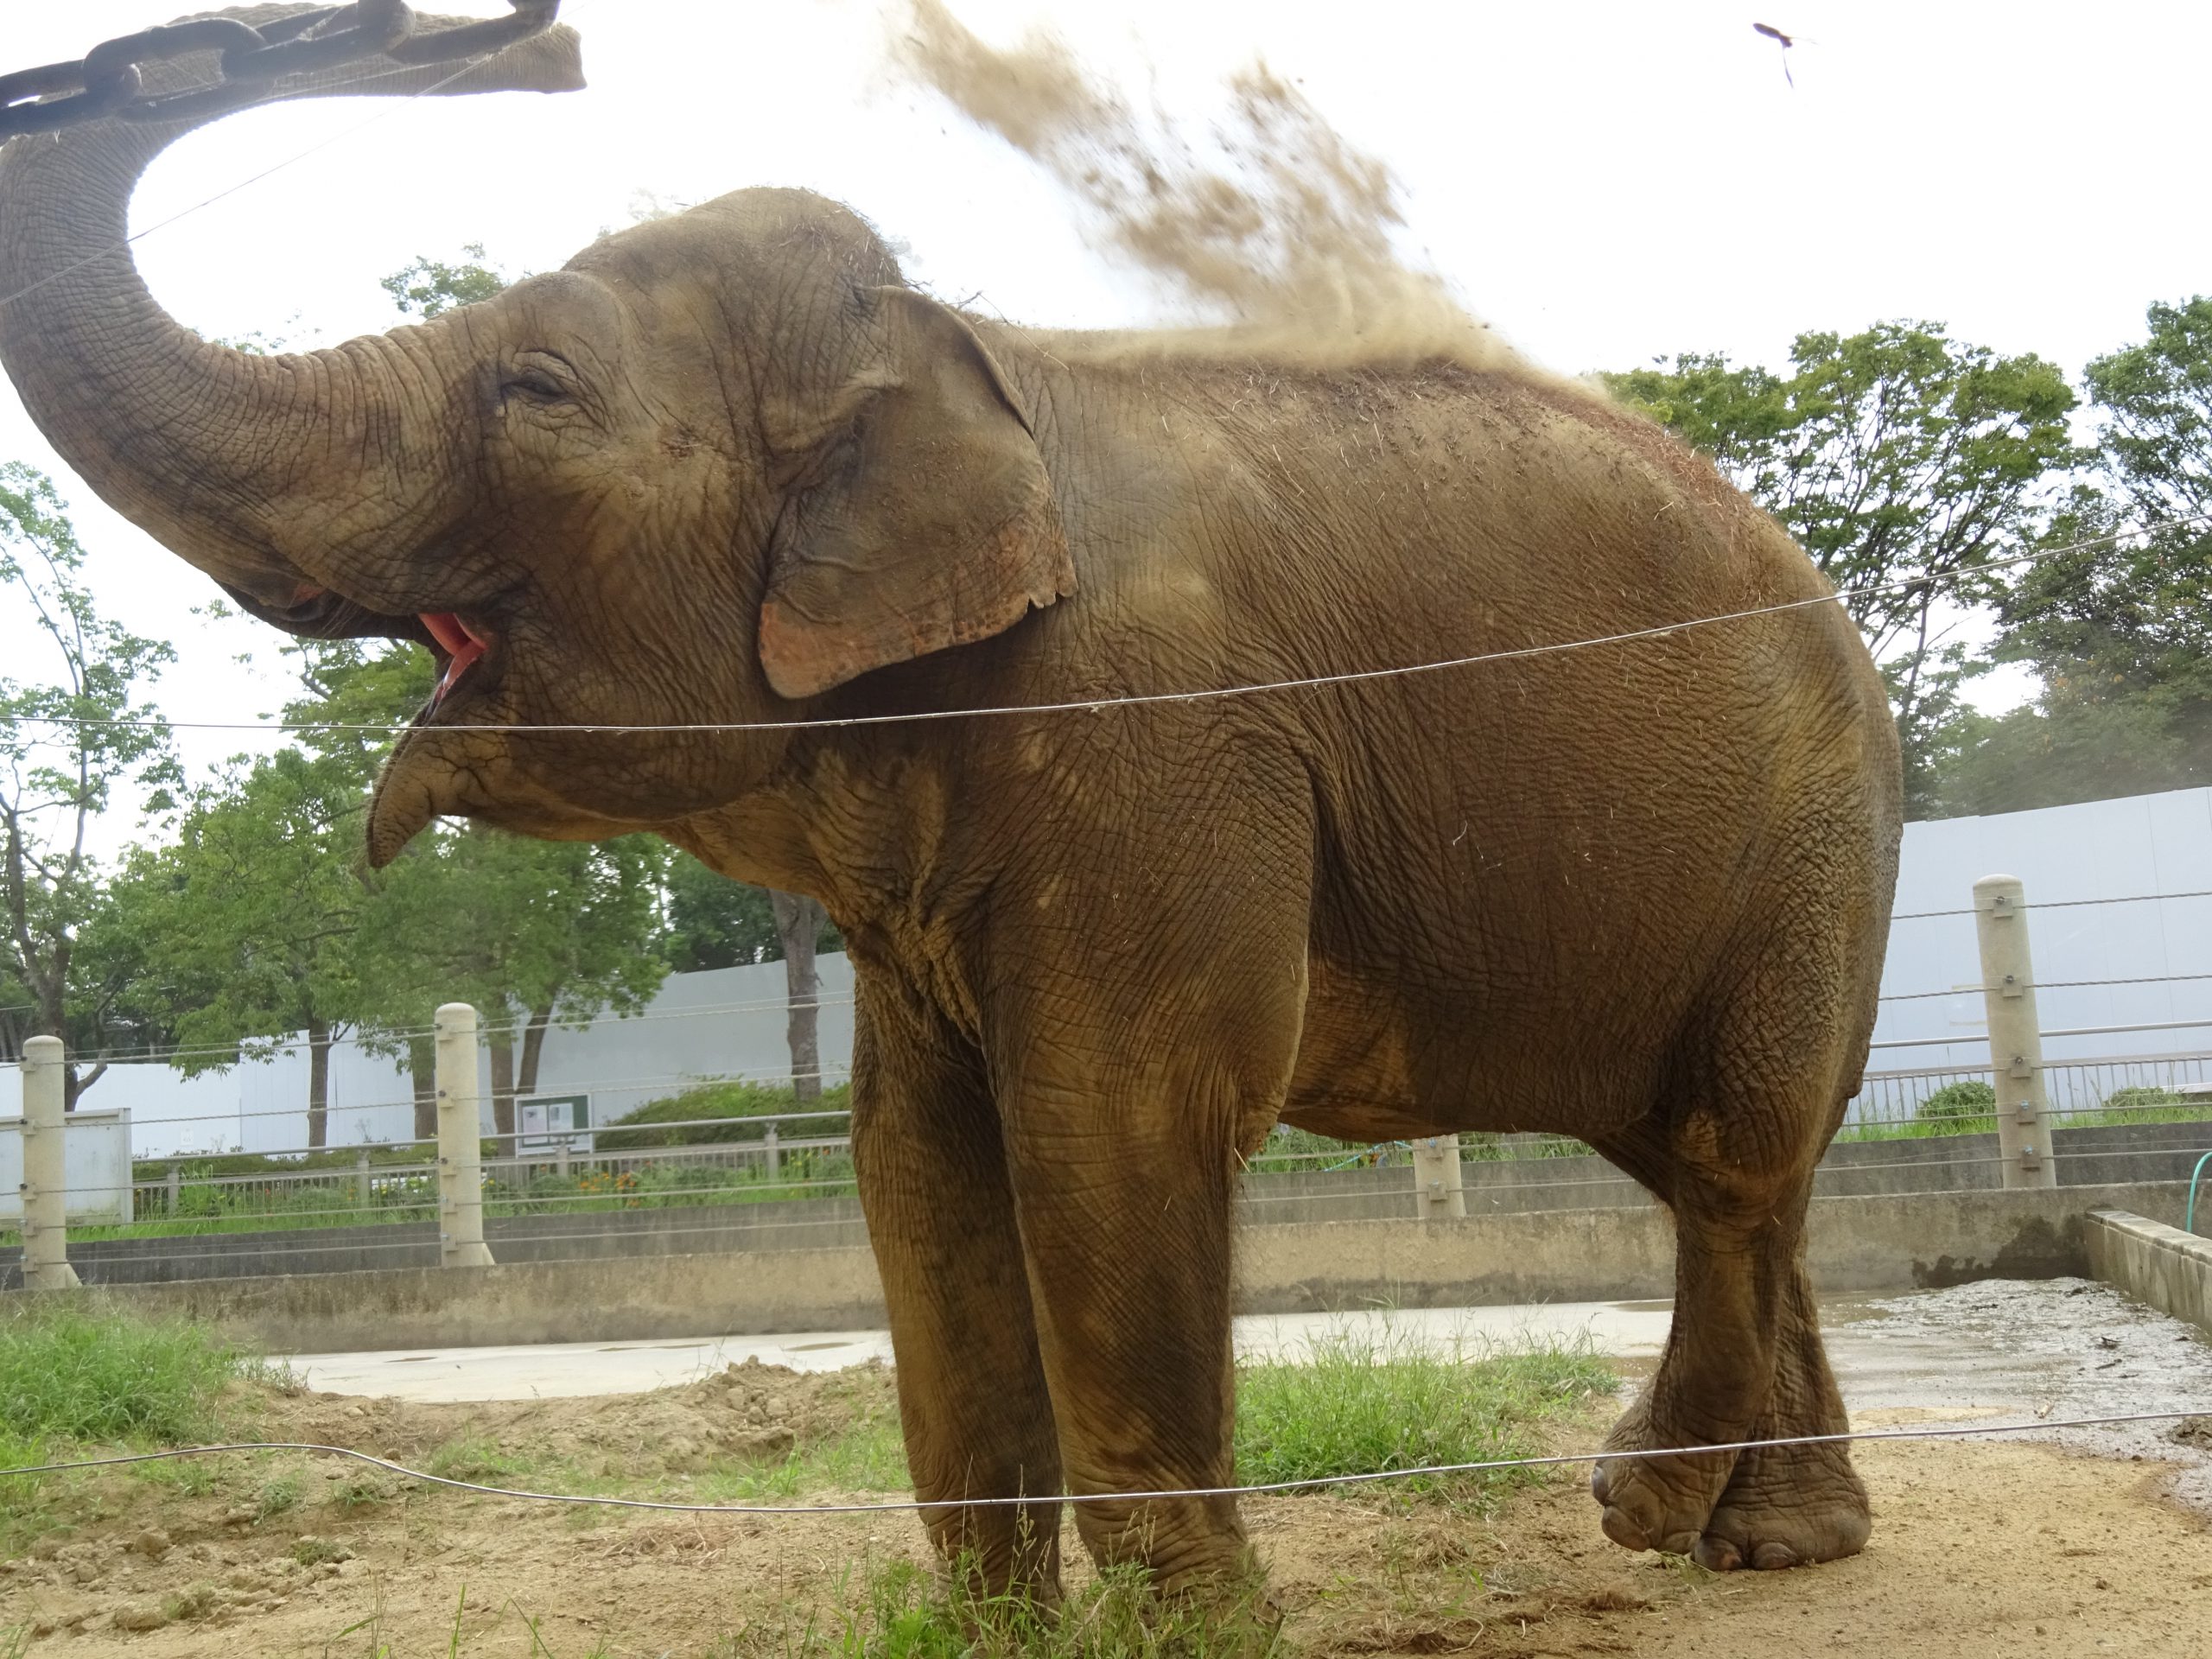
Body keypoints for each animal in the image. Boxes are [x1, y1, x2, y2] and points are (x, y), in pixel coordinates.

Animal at [0, 6, 1902, 1601]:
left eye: (535, 392)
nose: (525, 47)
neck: (957, 351)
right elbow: (914, 1156)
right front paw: (1003, 1629)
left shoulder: (1154, 737)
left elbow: (1110, 1123)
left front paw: (1197, 1632)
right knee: (1722, 1162)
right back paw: (1773, 1546)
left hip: (1815, 838)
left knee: (1734, 1153)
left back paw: (1645, 1507)